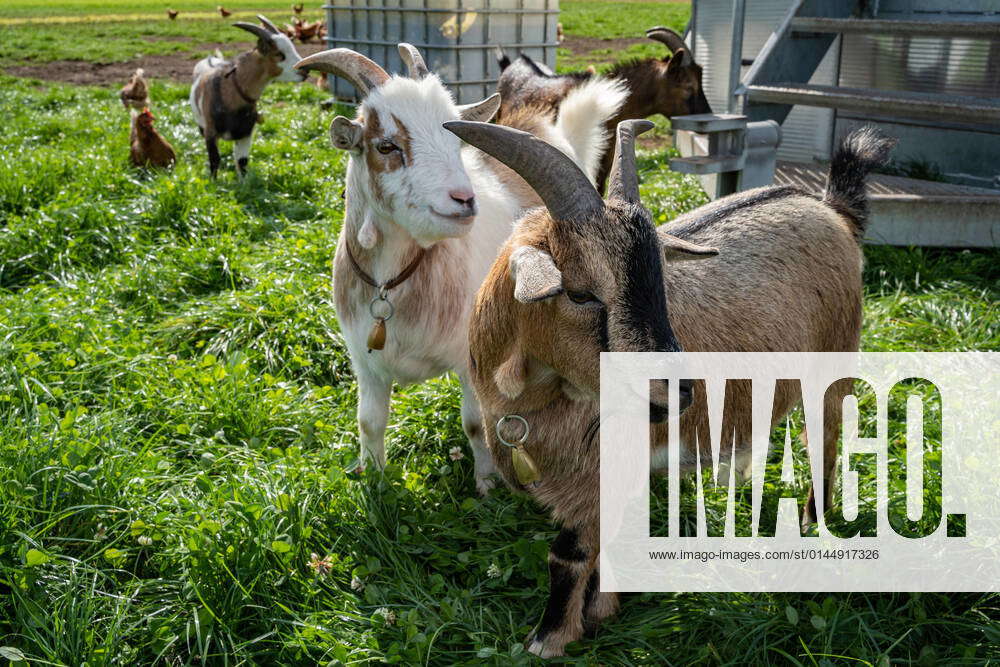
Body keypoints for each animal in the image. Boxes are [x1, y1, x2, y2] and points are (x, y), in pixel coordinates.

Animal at [190, 15, 306, 177]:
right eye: (279, 54)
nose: (305, 70)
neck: (231, 90)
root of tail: (210, 59)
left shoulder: (245, 134)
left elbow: (242, 162)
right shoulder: (210, 133)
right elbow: (214, 160)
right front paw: (213, 181)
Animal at [294, 41, 624, 490]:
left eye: (457, 143)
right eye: (386, 146)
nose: (464, 199)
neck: (392, 285)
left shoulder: (472, 359)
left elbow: (475, 424)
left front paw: (486, 484)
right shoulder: (366, 363)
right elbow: (369, 423)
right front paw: (375, 482)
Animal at [450, 117, 896, 656]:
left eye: (660, 281)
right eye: (578, 294)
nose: (680, 393)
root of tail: (830, 207)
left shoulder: (599, 470)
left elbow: (569, 554)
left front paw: (549, 638)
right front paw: (603, 610)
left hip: (834, 362)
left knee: (824, 441)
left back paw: (816, 521)